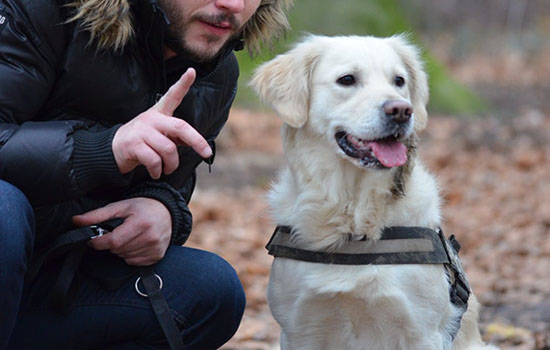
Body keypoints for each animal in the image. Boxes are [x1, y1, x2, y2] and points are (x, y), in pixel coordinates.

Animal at [252, 34, 498, 350]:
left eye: (399, 81)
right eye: (347, 79)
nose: (401, 110)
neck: (353, 212)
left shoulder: (422, 332)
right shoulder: (300, 329)